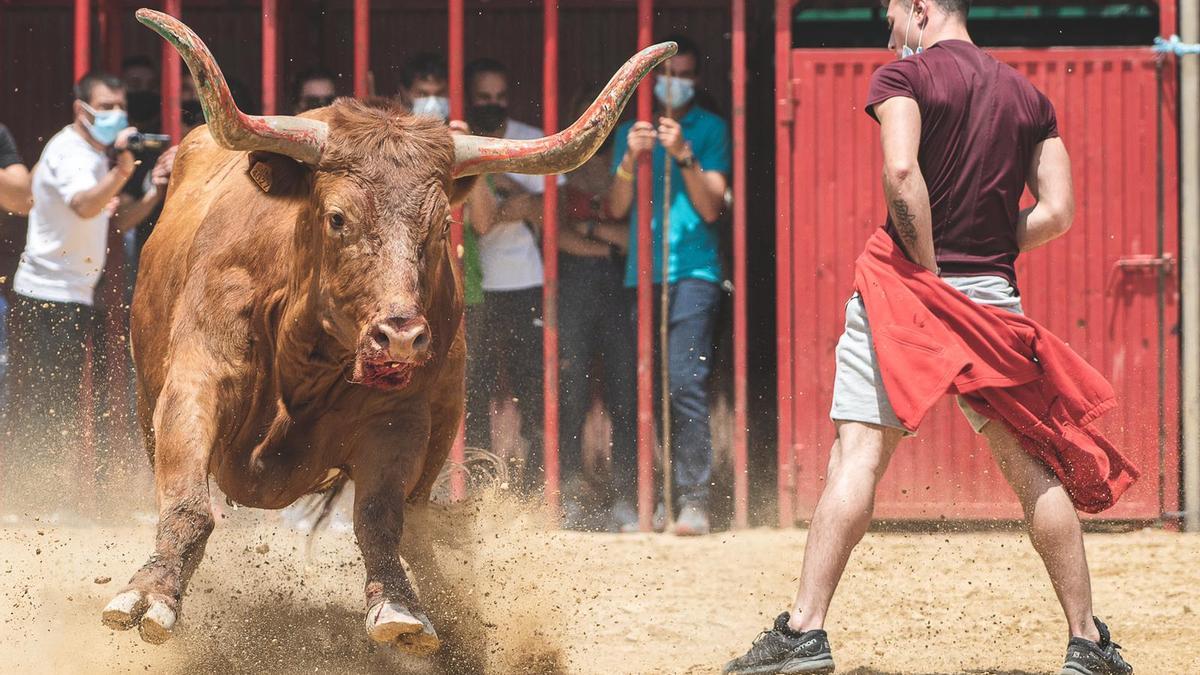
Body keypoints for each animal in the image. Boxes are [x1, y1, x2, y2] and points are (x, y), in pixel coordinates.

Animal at [99, 9, 672, 653]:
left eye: (440, 225)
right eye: (337, 218)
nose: (399, 337)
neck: (307, 355)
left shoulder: (400, 421)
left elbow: (380, 518)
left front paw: (399, 607)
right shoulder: (197, 381)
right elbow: (189, 503)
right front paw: (150, 594)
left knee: (418, 523)